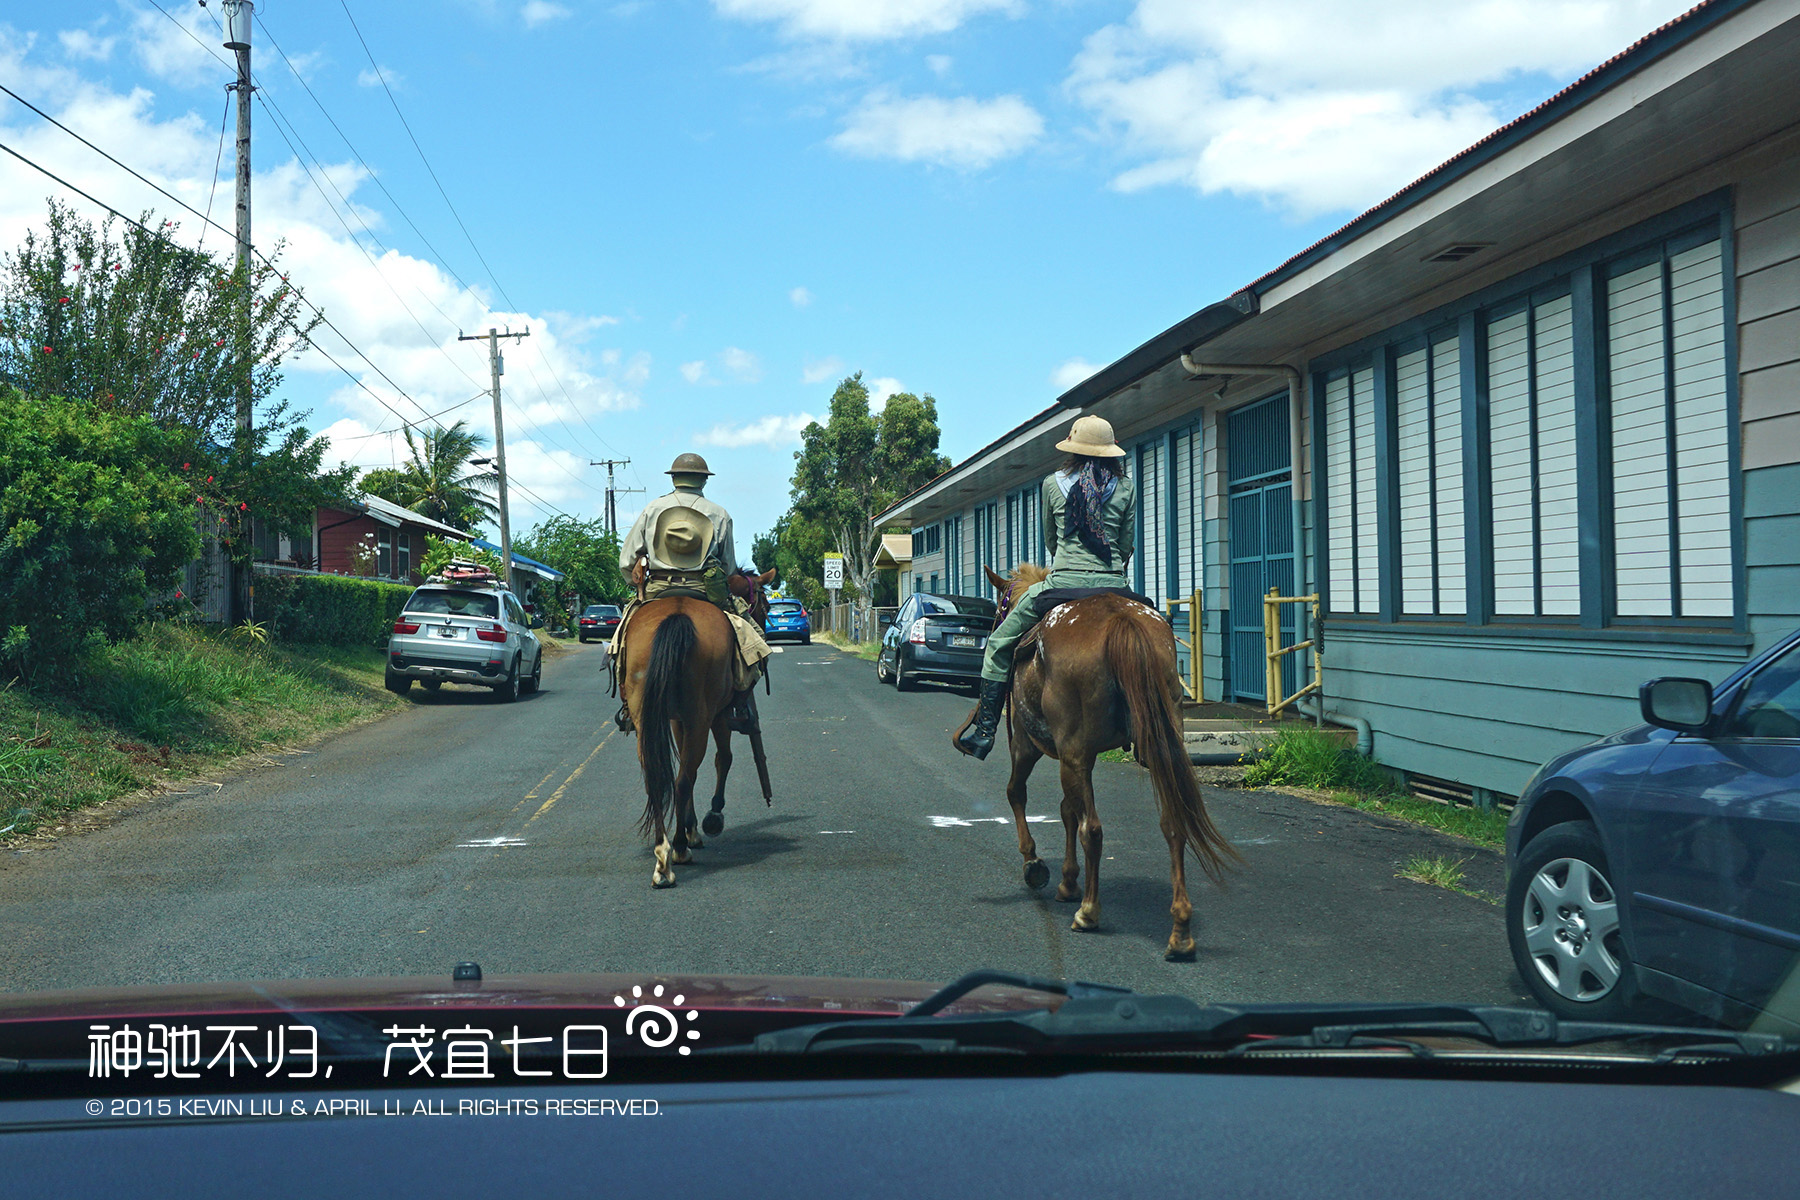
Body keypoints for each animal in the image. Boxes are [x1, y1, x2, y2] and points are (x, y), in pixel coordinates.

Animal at [972, 564, 1238, 964]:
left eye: (1000, 607)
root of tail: (1121, 619)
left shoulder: (1029, 745)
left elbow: (1018, 793)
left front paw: (1034, 864)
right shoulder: (1081, 756)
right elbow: (1067, 810)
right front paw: (1067, 880)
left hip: (1068, 753)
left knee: (1093, 829)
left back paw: (1088, 912)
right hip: (1156, 744)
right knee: (1173, 825)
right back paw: (1180, 934)